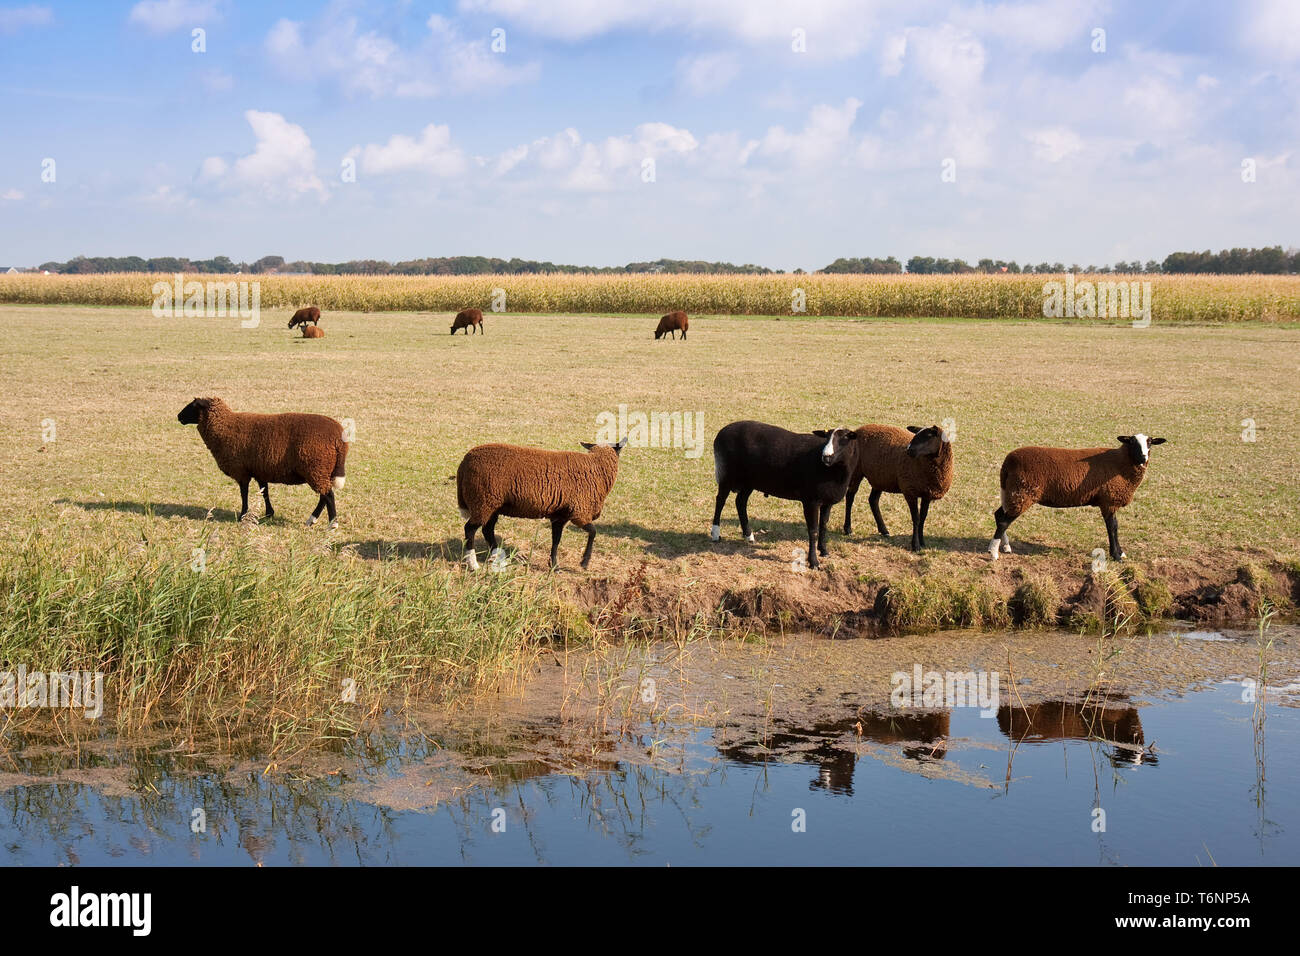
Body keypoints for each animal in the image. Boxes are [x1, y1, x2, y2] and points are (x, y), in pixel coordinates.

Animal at [177, 397, 349, 529]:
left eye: (193, 406)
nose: (178, 416)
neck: (224, 427)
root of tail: (339, 436)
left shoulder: (241, 471)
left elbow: (244, 493)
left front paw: (243, 515)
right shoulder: (260, 470)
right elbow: (264, 492)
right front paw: (268, 514)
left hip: (315, 468)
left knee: (328, 495)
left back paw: (332, 524)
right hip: (322, 470)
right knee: (324, 496)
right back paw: (311, 520)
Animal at [457, 438, 626, 570]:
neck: (597, 468)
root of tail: (464, 462)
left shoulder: (560, 515)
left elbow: (556, 541)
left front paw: (554, 566)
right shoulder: (579, 512)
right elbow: (593, 532)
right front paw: (584, 562)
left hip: (492, 505)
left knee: (487, 530)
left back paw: (497, 557)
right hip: (483, 502)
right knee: (470, 529)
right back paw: (473, 564)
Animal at [710, 420, 861, 570]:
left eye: (845, 438)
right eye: (827, 437)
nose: (826, 456)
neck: (834, 472)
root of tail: (722, 432)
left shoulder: (827, 501)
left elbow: (823, 526)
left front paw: (824, 551)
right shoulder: (811, 501)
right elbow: (813, 531)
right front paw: (814, 562)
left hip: (750, 481)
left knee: (740, 502)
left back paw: (749, 536)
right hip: (727, 473)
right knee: (720, 500)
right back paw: (715, 534)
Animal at [989, 434, 1166, 562]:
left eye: (1150, 442)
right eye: (1132, 442)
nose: (1143, 457)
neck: (1122, 464)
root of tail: (1007, 462)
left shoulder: (1109, 501)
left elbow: (1114, 527)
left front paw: (1120, 553)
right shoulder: (1108, 501)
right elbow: (1112, 527)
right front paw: (1116, 555)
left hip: (1012, 492)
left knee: (999, 515)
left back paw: (1005, 547)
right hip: (1022, 494)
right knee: (1004, 521)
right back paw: (993, 552)